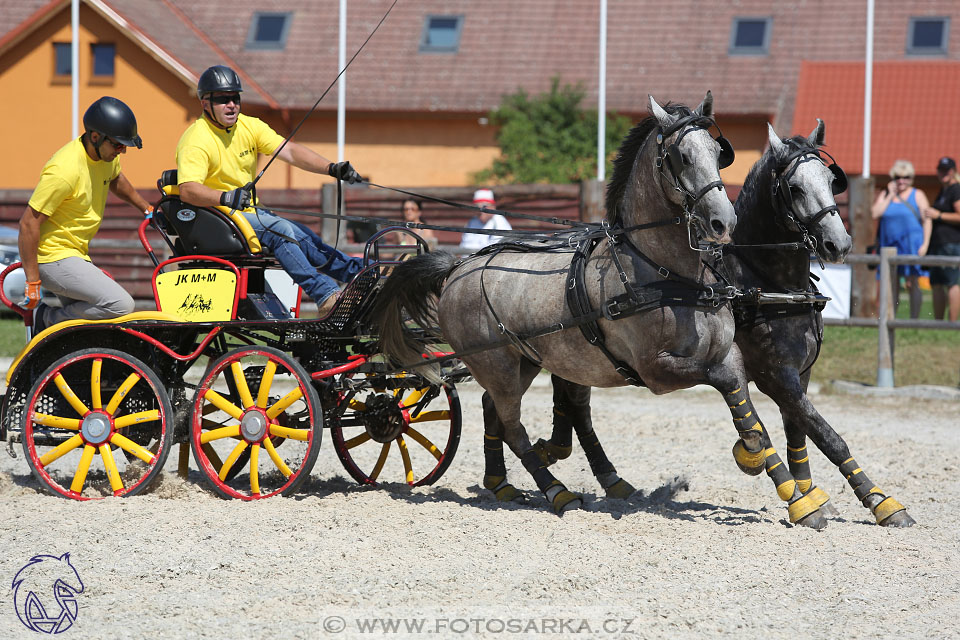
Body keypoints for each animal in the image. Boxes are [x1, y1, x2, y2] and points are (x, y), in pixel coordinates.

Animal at [372, 94, 812, 520]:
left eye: (719, 153)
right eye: (682, 156)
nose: (724, 222)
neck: (667, 275)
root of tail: (458, 268)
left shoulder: (728, 353)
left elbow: (741, 395)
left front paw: (795, 493)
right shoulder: (656, 370)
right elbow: (721, 381)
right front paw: (757, 458)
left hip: (523, 362)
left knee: (491, 408)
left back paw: (502, 483)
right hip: (495, 364)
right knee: (512, 426)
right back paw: (557, 492)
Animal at [532, 122, 916, 528]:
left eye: (831, 180)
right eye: (795, 188)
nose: (838, 244)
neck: (764, 282)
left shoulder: (799, 372)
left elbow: (798, 431)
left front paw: (811, 495)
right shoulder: (776, 376)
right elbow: (824, 433)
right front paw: (879, 501)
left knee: (573, 399)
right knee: (573, 401)